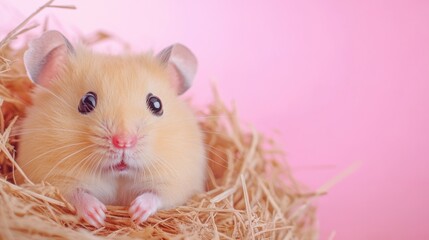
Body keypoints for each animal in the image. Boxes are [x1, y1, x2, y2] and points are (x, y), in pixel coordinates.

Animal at [17, 31, 208, 228]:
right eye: (86, 101)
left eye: (156, 104)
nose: (124, 142)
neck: (118, 176)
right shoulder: (52, 177)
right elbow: (75, 194)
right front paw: (98, 215)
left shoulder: (178, 182)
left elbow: (157, 195)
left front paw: (136, 212)